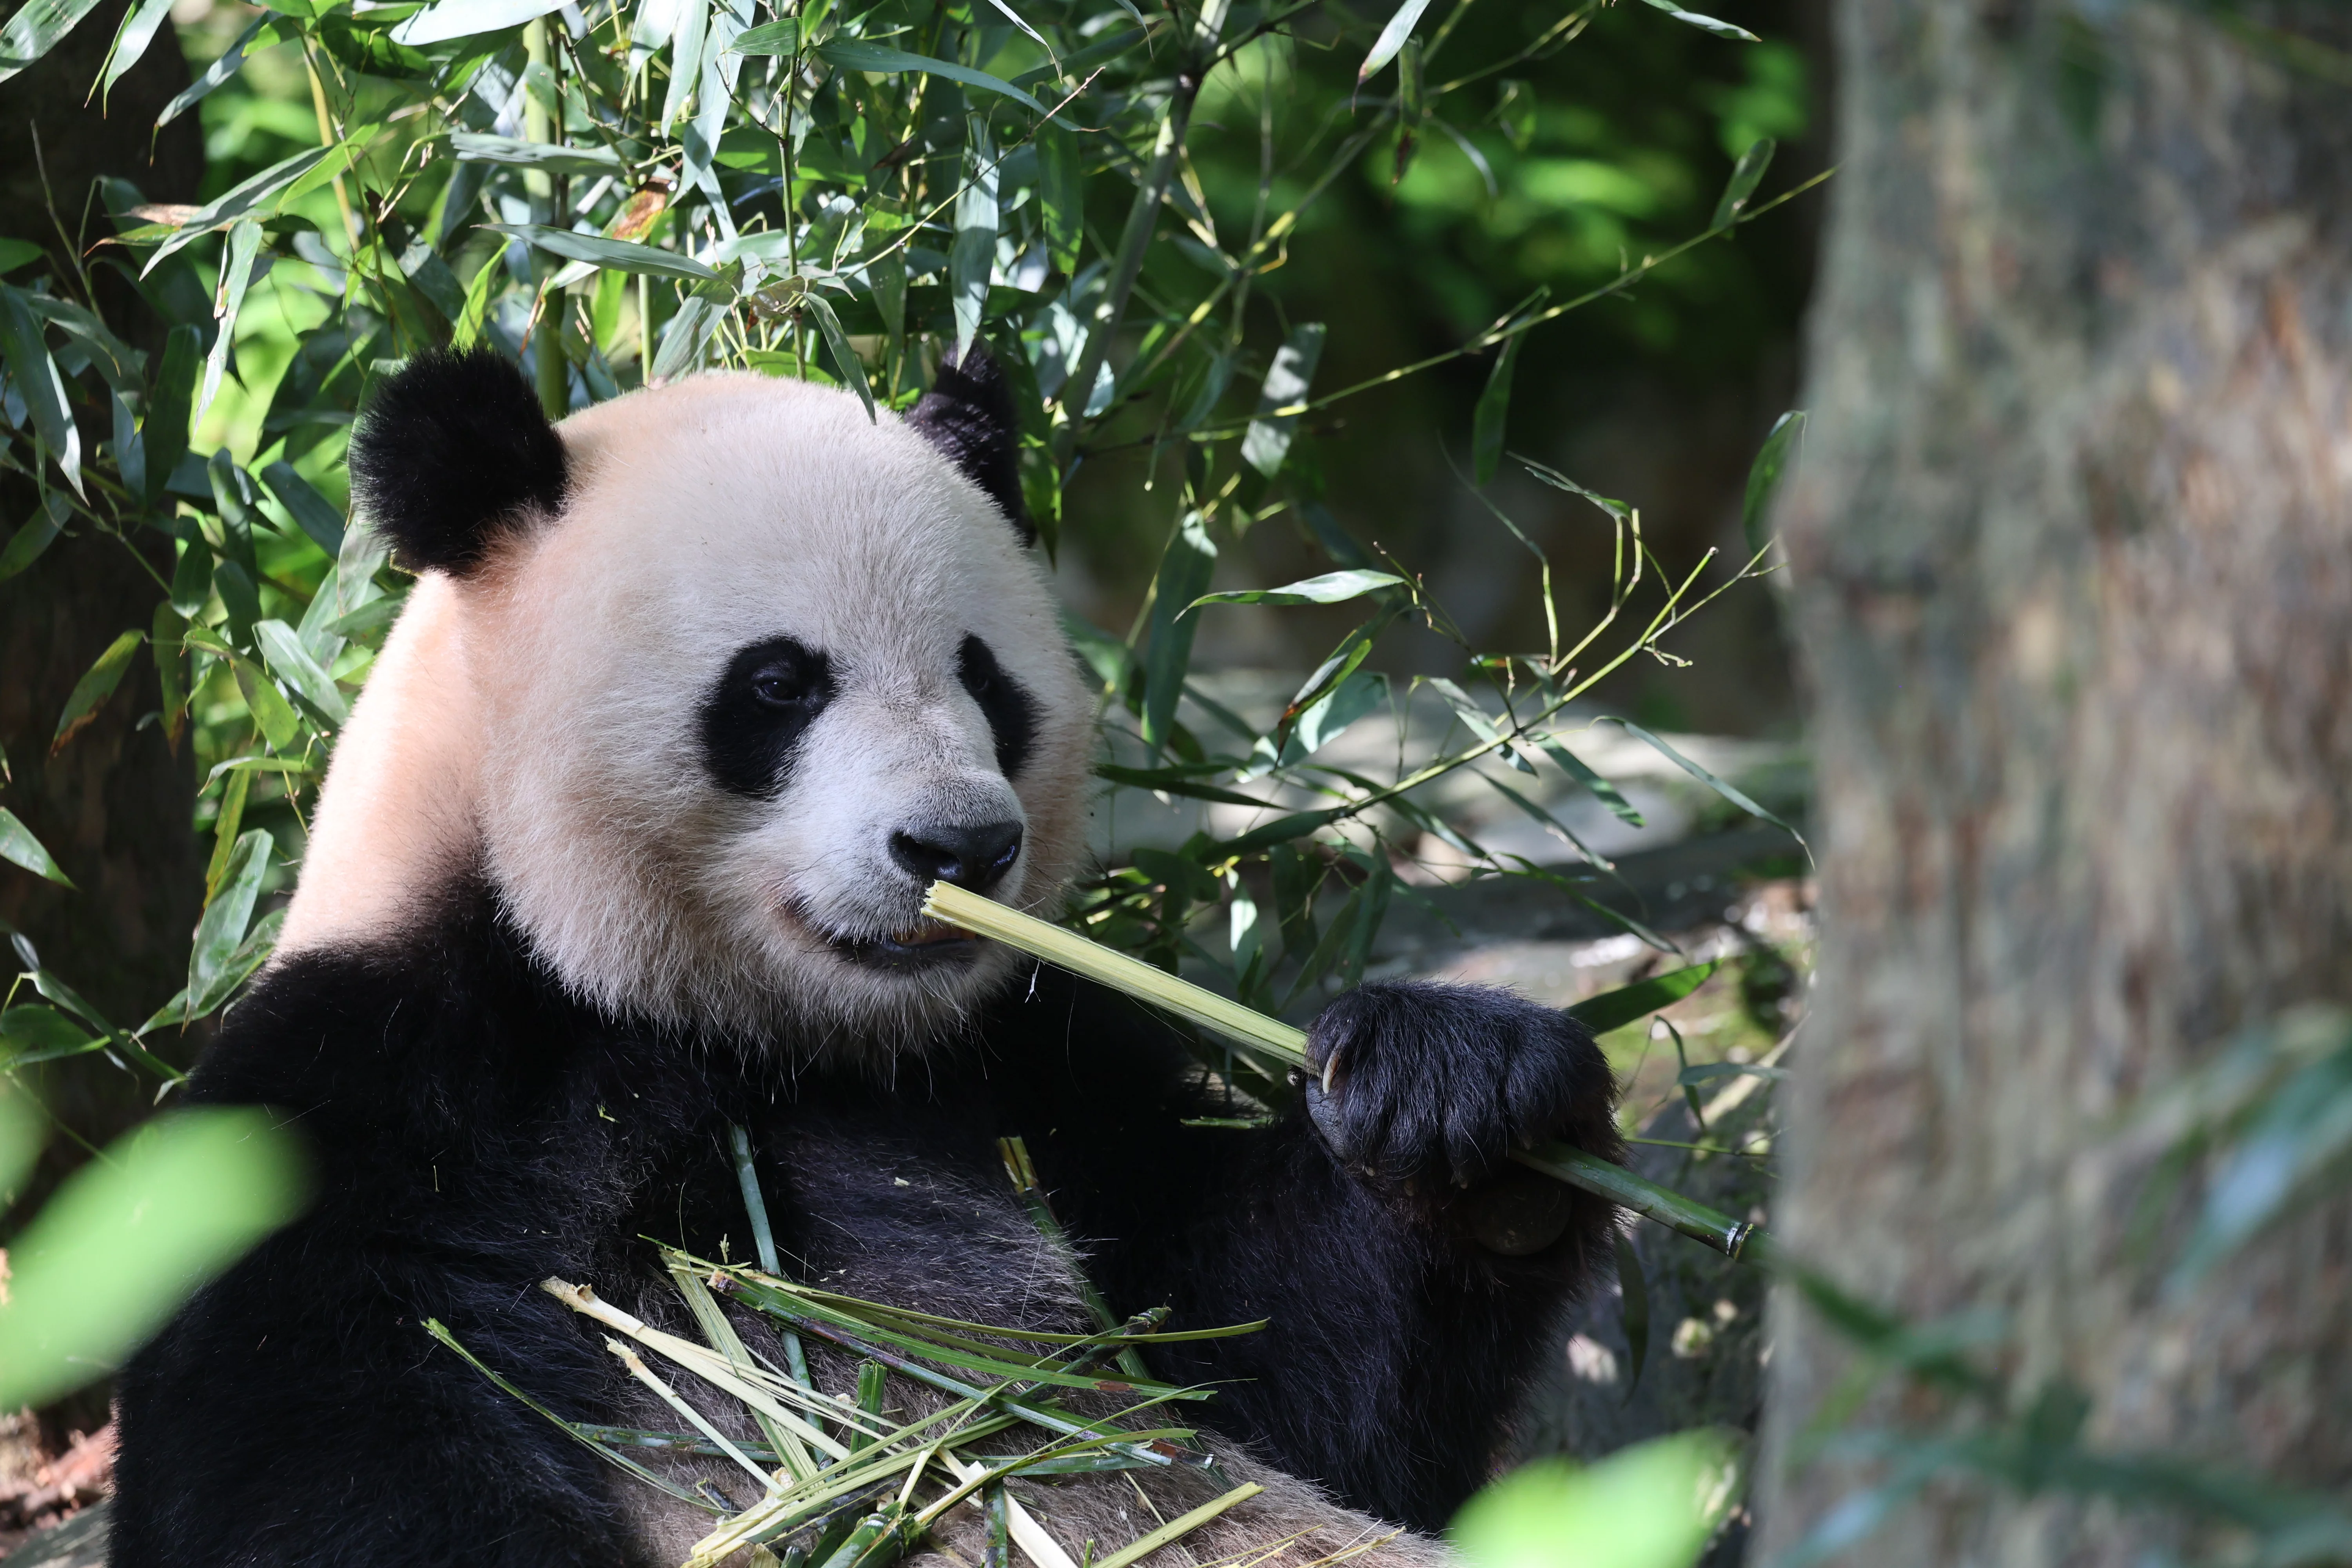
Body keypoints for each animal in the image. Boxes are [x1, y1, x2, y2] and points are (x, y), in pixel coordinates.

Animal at [109, 346, 1625, 1568]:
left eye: (984, 678)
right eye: (779, 685)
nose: (961, 845)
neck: (741, 1028)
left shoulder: (1031, 1068)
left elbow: (1280, 1371)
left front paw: (1461, 1107)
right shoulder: (367, 1107)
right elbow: (321, 1464)